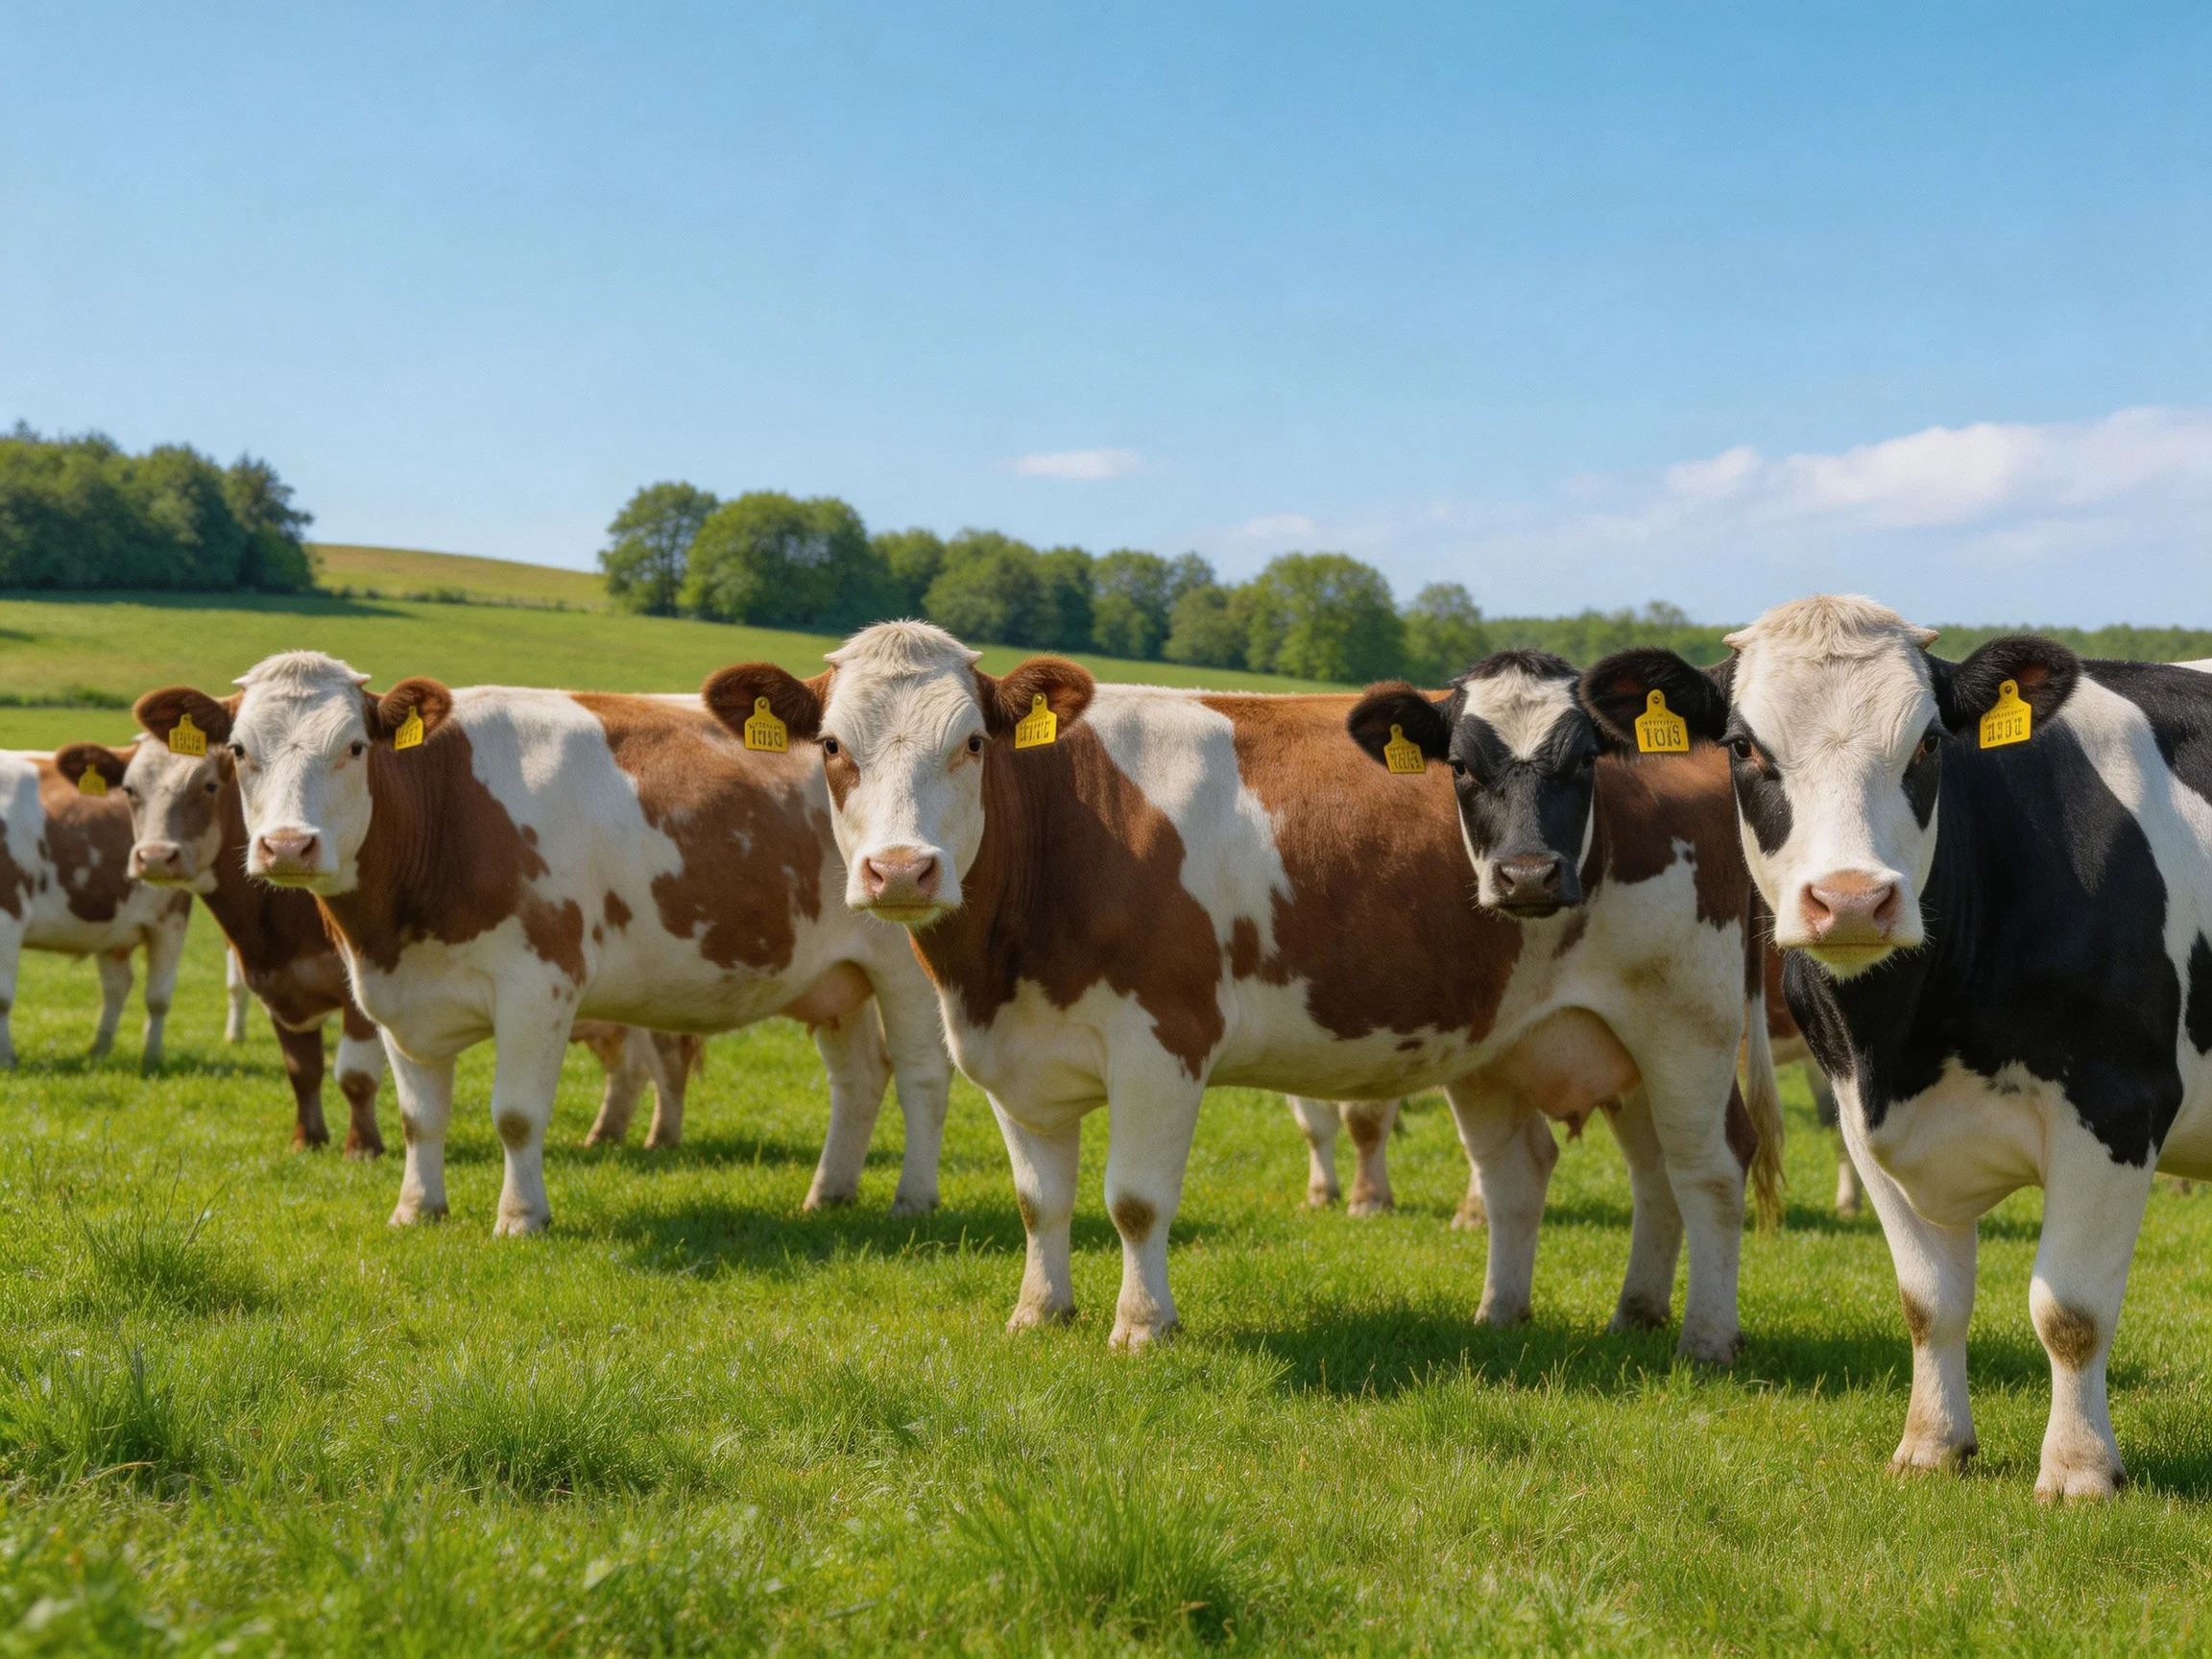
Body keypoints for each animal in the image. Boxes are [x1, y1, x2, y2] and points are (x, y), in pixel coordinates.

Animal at [0, 747, 193, 1068]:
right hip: (113, 930)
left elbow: (2, 997)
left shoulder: (9, 912)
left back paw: (151, 1057)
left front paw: (6, 1058)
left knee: (158, 995)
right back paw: (99, 1050)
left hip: (170, 919)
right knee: (117, 985)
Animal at [133, 654, 953, 1233]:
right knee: (858, 1080)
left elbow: (516, 1113)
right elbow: (418, 1116)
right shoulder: (395, 994)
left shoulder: (539, 985)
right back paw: (827, 1194)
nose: (287, 846)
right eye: (240, 752)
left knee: (920, 1077)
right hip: (838, 977)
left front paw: (521, 1216)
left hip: (905, 963)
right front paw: (416, 1210)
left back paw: (911, 1200)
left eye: (356, 747)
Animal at [706, 626, 1780, 1358]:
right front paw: (1039, 1311)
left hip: (1685, 1021)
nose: (901, 870)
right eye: (832, 747)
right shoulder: (1014, 1056)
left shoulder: (1162, 1042)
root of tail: (1693, 745)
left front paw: (1143, 1327)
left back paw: (1706, 1338)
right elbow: (1038, 1200)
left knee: (1709, 1170)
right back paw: (1558, 1315)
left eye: (972, 743)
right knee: (1576, 1176)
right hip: (1547, 1037)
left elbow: (1134, 1201)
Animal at [1584, 594, 2212, 1498]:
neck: (1903, 1041)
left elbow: (2070, 1312)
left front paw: (2080, 1469)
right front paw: (1932, 1444)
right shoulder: (1859, 1117)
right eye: (1742, 747)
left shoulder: (2119, 1104)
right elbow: (1929, 1302)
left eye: (1928, 743)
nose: (1851, 900)